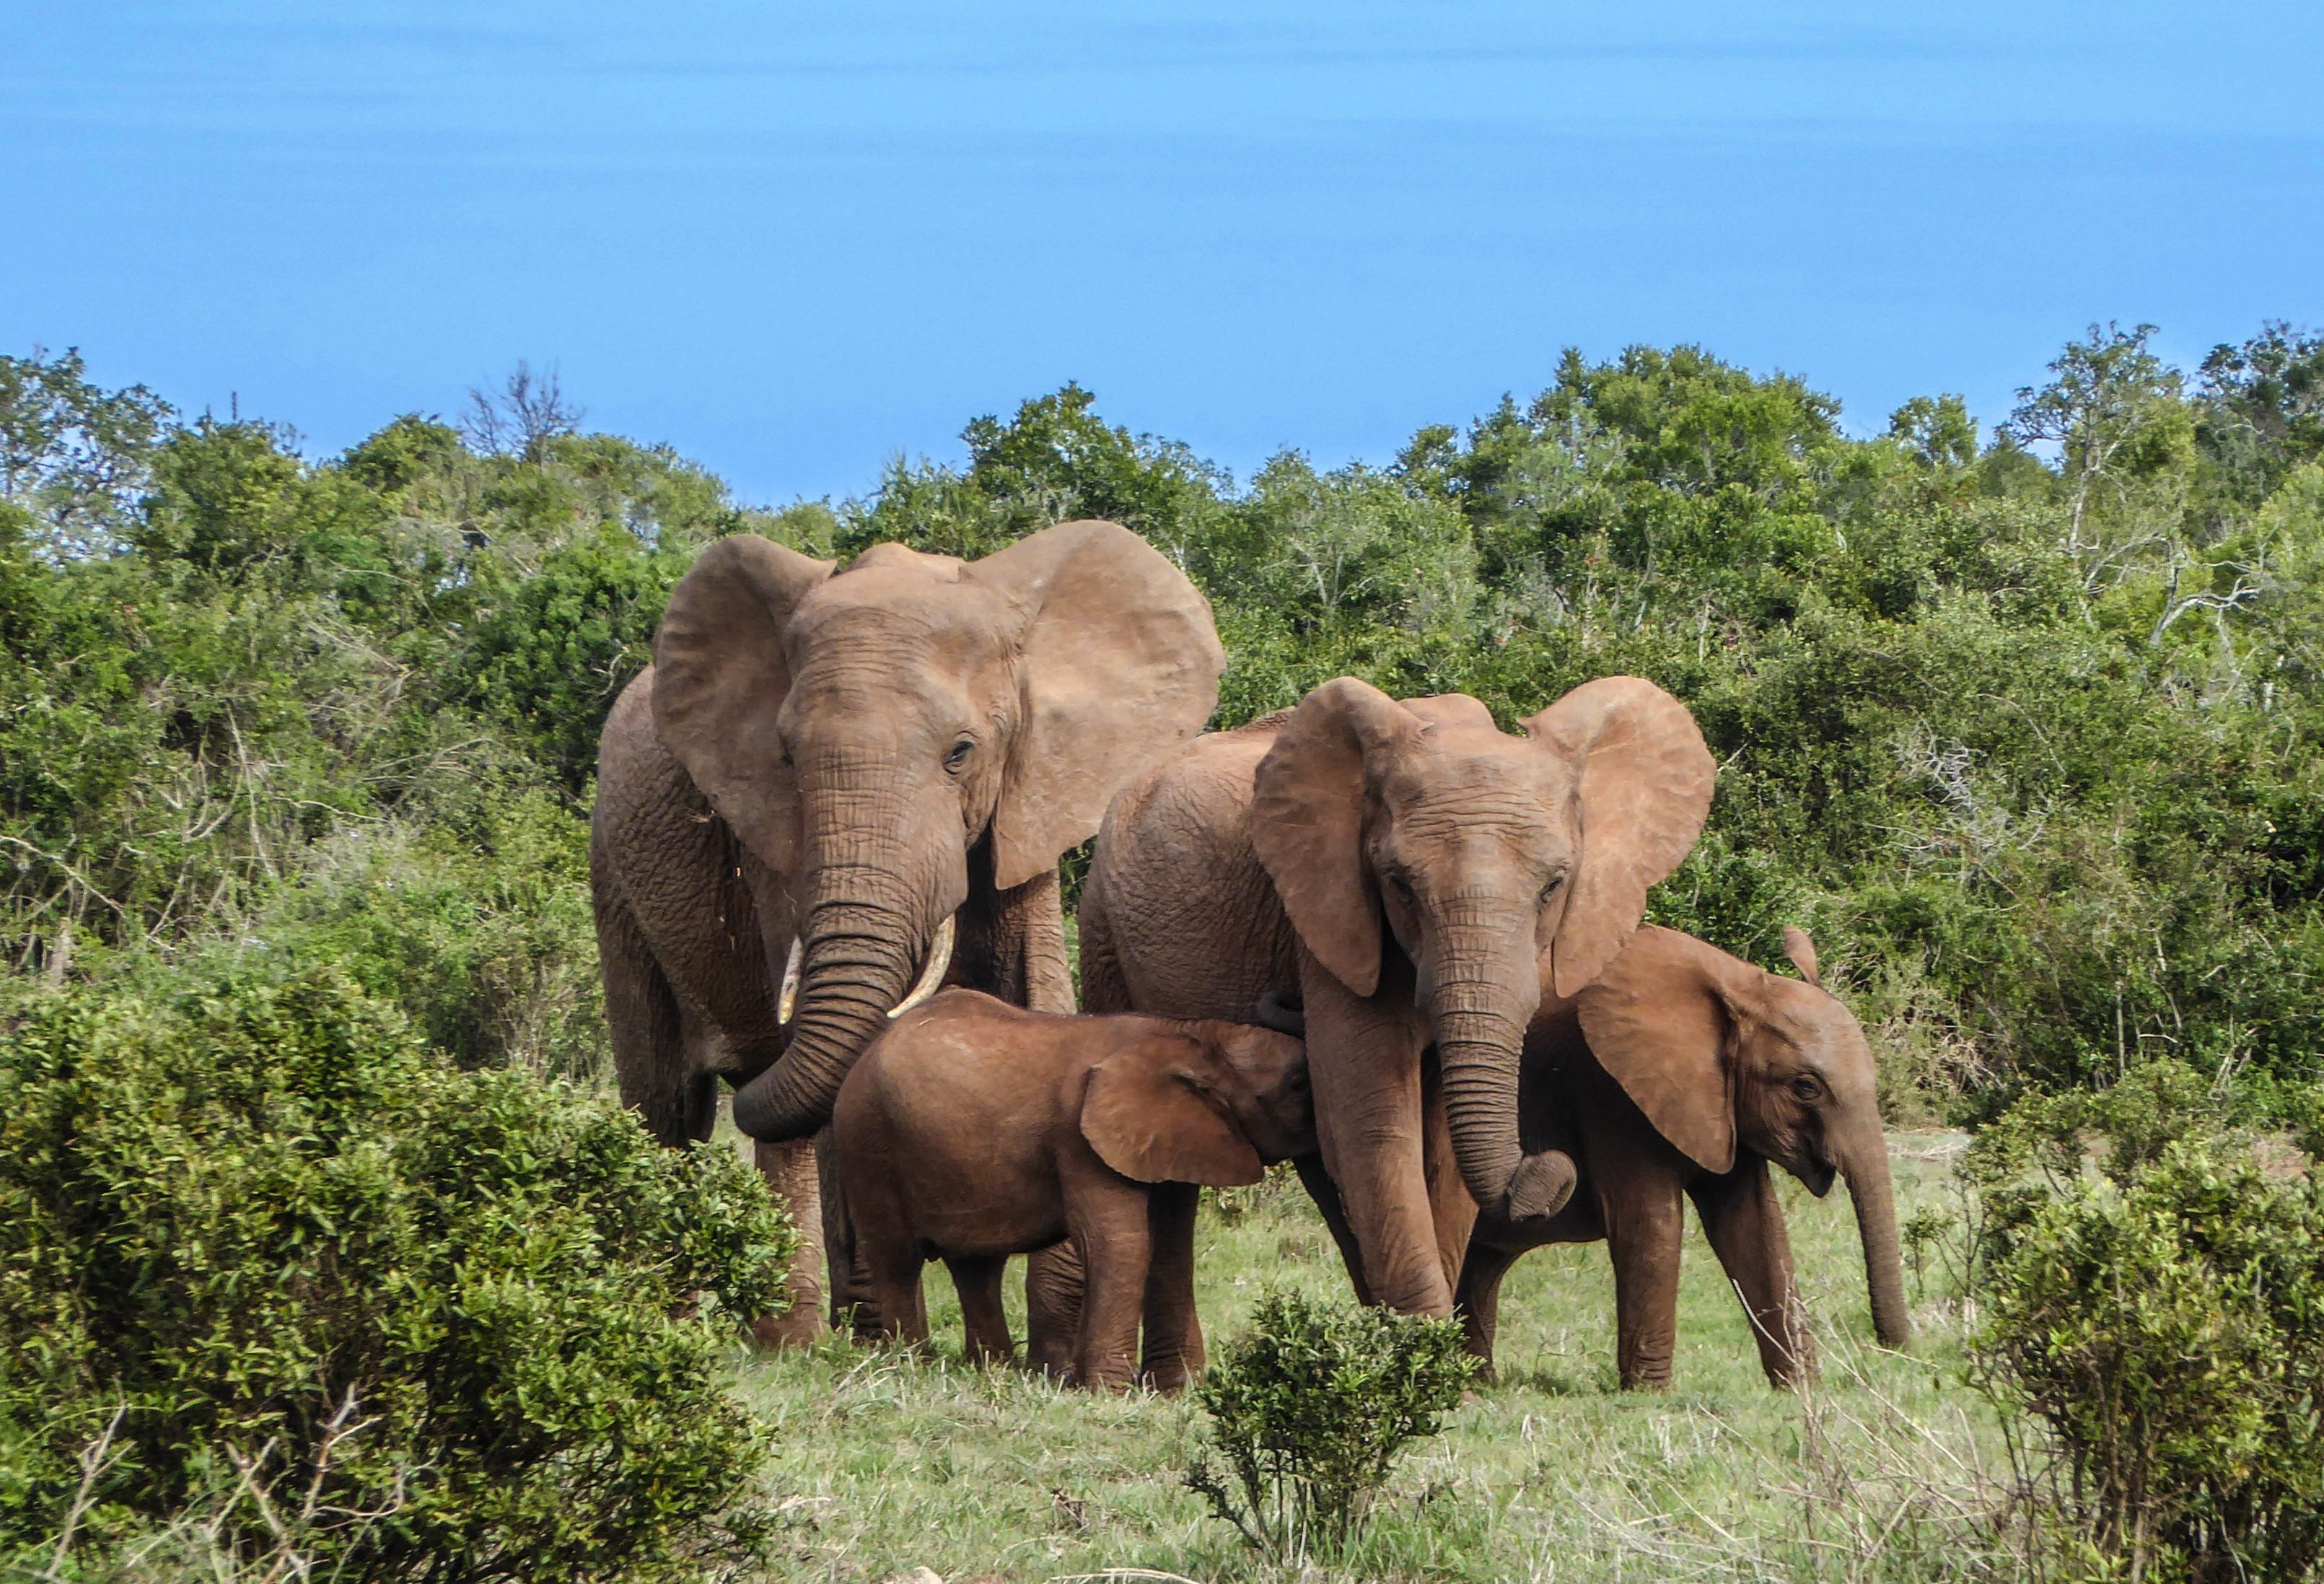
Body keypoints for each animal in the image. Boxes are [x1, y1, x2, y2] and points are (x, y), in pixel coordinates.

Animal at [590, 520, 1225, 1342]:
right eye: (786, 757)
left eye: (961, 752)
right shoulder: (771, 838)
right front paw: (883, 1337)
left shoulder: (1028, 801)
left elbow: (1038, 994)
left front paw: (1053, 1344)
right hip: (612, 870)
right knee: (668, 1108)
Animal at [831, 988, 1313, 1390]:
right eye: (1297, 1084)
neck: (1187, 1035)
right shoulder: (1079, 1137)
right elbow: (1118, 1242)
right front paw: (1107, 1392)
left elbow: (1172, 1249)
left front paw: (1180, 1391)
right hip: (866, 1139)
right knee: (898, 1259)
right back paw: (912, 1366)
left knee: (976, 1266)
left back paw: (991, 1371)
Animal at [1079, 676, 1716, 1324]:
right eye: (1400, 885)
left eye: (1553, 886)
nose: (1550, 1168)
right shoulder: (1333, 918)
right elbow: (1374, 1123)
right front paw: (1425, 1344)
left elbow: (1437, 1149)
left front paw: (1427, 1344)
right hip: (1102, 926)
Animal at [1456, 925, 1912, 1390]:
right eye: (1806, 1087)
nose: (1891, 1348)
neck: (1741, 985)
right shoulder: (1608, 1091)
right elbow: (1653, 1223)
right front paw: (1650, 1395)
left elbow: (1754, 1226)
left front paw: (1802, 1389)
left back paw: (1479, 1381)